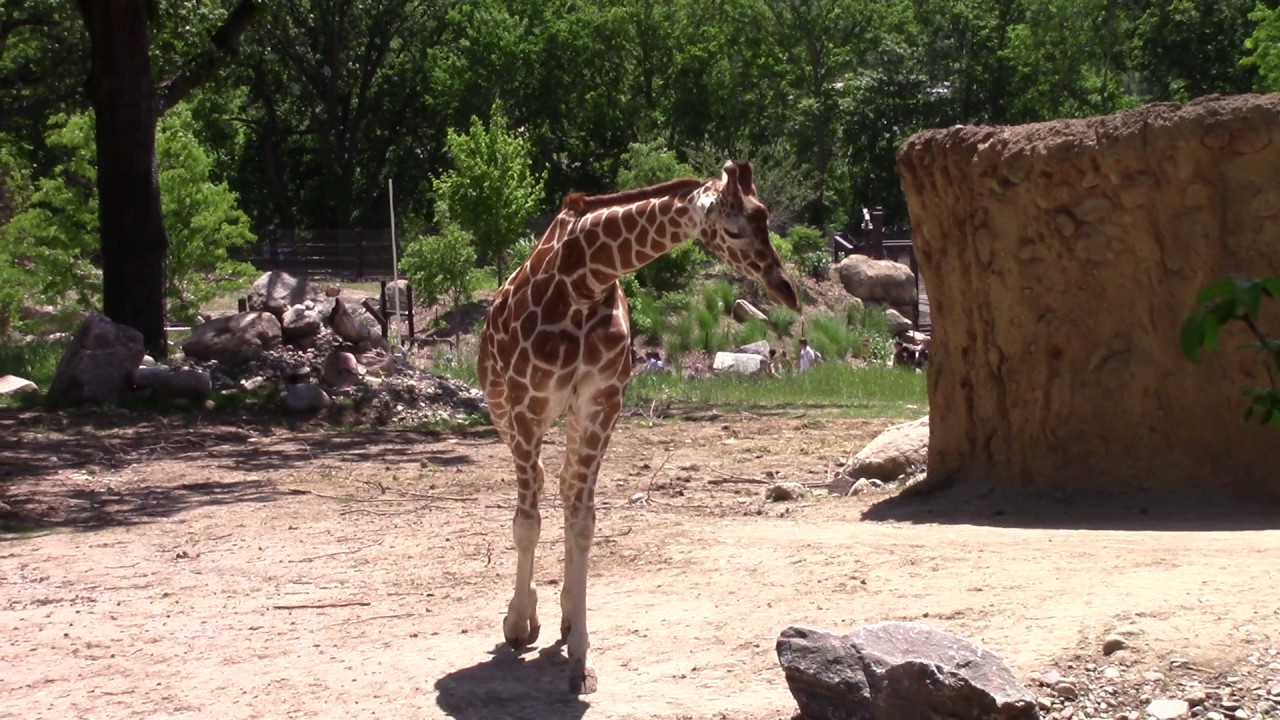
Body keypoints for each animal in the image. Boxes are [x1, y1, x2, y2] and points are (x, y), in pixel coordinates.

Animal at [477, 160, 800, 694]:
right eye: (735, 229)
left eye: (766, 218)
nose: (784, 290)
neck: (584, 281)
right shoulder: (527, 403)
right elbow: (527, 522)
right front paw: (519, 622)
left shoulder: (601, 402)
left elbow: (583, 519)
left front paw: (582, 659)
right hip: (504, 409)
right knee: (537, 491)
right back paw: (529, 616)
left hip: (568, 417)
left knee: (563, 486)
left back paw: (566, 615)